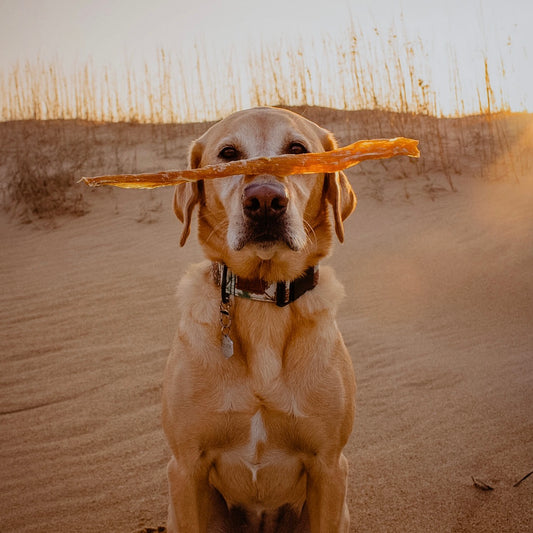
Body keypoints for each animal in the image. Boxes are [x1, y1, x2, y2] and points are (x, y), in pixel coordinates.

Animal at [160, 106, 356, 528]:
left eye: (297, 149)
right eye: (228, 154)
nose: (265, 200)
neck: (263, 298)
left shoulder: (330, 468)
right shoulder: (185, 468)